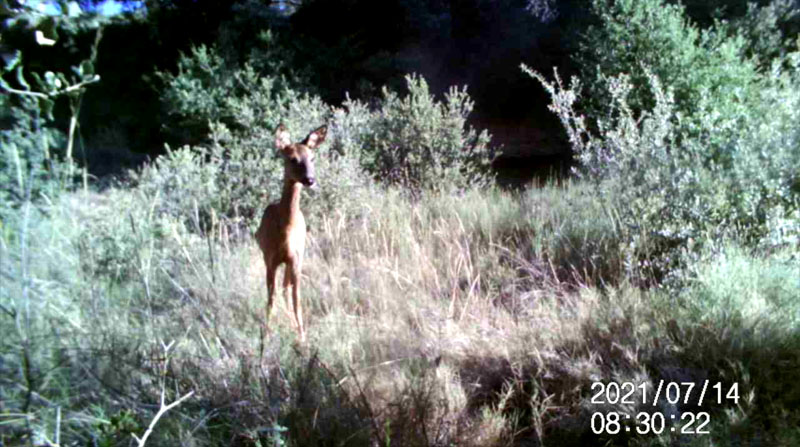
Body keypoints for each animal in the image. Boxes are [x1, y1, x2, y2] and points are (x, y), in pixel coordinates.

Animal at [255, 124, 326, 342]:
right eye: (292, 159)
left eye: (312, 157)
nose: (310, 179)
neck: (284, 232)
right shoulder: (270, 258)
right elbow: (270, 298)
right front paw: (266, 335)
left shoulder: (295, 258)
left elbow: (297, 298)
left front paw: (302, 337)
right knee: (280, 290)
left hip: (298, 256)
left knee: (287, 289)